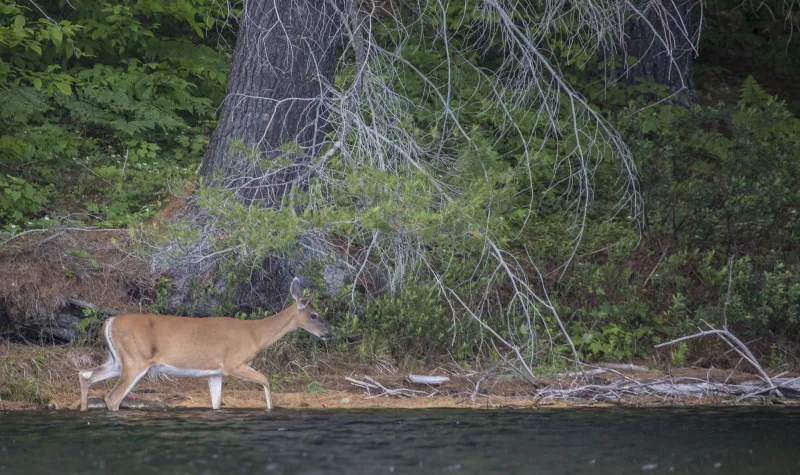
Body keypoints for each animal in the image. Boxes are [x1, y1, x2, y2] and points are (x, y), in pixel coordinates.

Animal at [79, 278, 332, 412]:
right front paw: (270, 409)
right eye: (314, 315)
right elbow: (266, 380)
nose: (328, 333)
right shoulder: (233, 363)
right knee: (112, 397)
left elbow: (216, 403)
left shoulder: (215, 372)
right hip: (135, 359)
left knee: (85, 375)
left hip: (118, 360)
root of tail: (110, 321)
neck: (255, 335)